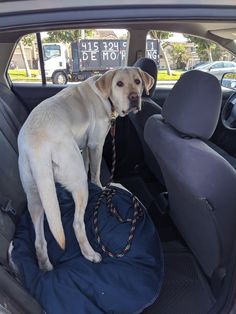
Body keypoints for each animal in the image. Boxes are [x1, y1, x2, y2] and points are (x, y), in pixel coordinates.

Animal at [18, 67, 155, 272]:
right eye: (119, 84)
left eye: (137, 81)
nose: (134, 97)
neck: (105, 96)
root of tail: (36, 146)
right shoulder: (95, 145)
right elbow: (95, 173)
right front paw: (100, 187)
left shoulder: (84, 148)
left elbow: (87, 164)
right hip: (77, 179)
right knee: (77, 224)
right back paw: (90, 253)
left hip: (36, 195)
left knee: (39, 240)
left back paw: (45, 266)